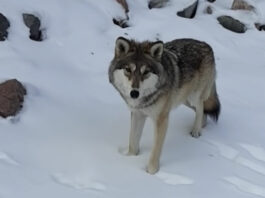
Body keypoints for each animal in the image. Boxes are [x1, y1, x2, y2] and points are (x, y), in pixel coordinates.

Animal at [108, 36, 220, 174]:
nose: (134, 93)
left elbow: (156, 149)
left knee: (201, 106)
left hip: (193, 97)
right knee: (203, 109)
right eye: (128, 69)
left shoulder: (161, 119)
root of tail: (207, 45)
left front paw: (151, 172)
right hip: (183, 99)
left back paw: (196, 131)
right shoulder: (137, 114)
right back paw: (201, 126)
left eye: (146, 72)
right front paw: (129, 159)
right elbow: (133, 142)